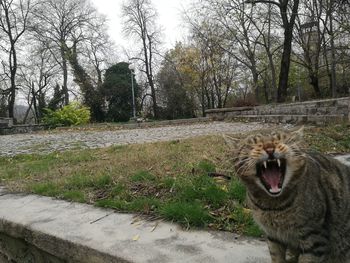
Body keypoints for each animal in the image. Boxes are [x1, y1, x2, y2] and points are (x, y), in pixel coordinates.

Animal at [224, 129, 350, 263]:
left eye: (279, 139)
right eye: (254, 143)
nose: (269, 148)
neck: (273, 206)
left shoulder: (315, 239)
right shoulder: (273, 236)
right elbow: (276, 257)